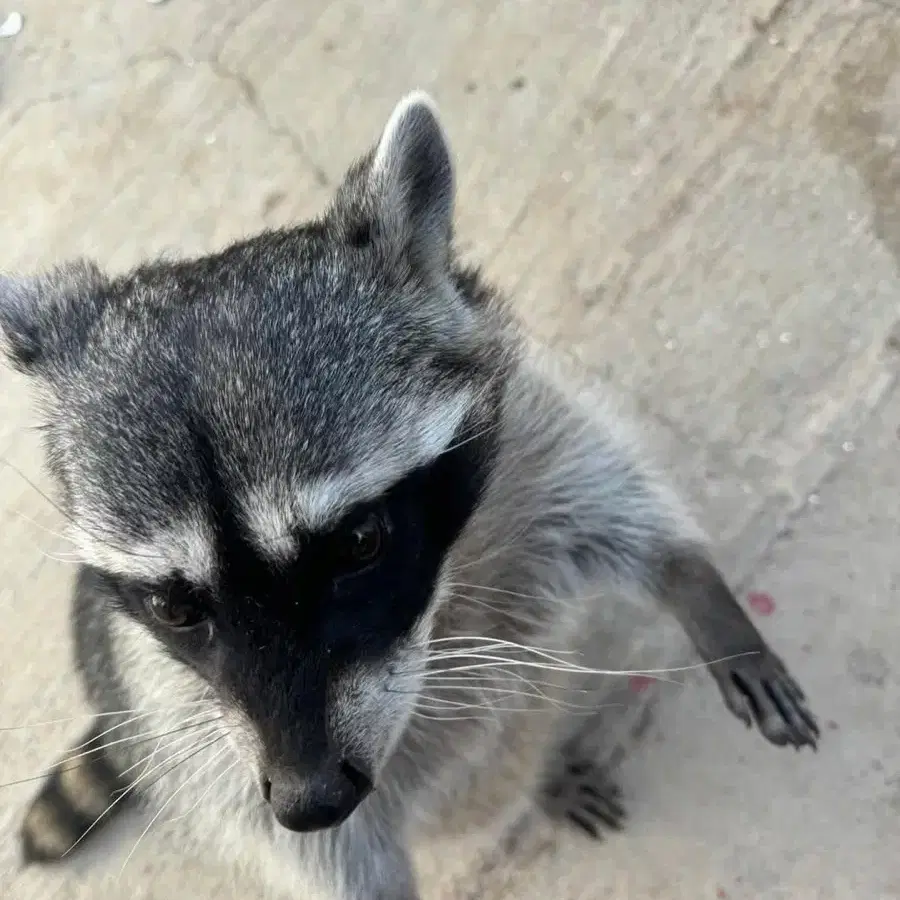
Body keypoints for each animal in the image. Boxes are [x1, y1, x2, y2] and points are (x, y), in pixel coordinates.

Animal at [0, 93, 816, 900]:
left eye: (358, 543)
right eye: (173, 607)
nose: (312, 800)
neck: (434, 614)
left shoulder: (521, 437)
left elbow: (609, 497)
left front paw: (697, 589)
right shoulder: (218, 752)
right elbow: (330, 858)